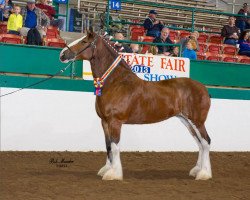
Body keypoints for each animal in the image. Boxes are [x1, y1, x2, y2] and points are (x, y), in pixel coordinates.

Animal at [59, 30, 212, 181]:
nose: (62, 55)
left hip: (197, 122)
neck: (115, 82)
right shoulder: (105, 122)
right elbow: (108, 146)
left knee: (206, 142)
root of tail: (204, 89)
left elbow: (115, 146)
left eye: (84, 41)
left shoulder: (115, 122)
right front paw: (107, 169)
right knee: (200, 143)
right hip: (187, 121)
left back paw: (204, 173)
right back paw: (197, 170)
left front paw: (114, 174)